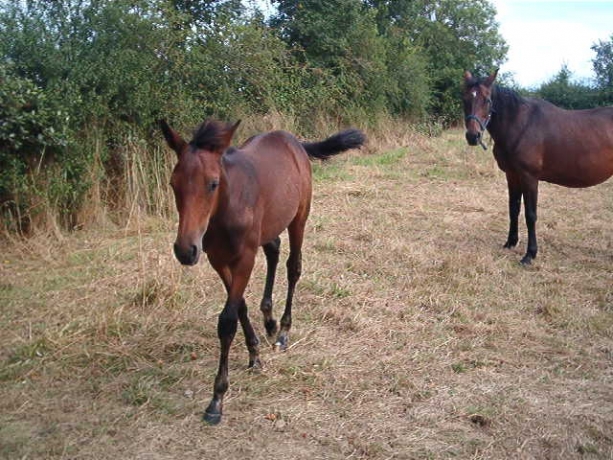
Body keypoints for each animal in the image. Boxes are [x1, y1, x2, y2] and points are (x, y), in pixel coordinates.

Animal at [160, 119, 366, 424]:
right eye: (173, 184)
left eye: (213, 184)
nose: (186, 251)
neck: (227, 208)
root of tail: (292, 140)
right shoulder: (217, 259)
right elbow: (240, 306)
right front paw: (254, 354)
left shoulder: (245, 257)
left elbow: (227, 320)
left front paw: (216, 399)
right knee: (274, 249)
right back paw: (269, 321)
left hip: (299, 216)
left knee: (293, 267)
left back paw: (283, 331)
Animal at [462, 69, 612, 264]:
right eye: (465, 99)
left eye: (487, 100)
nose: (473, 136)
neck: (520, 125)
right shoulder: (512, 175)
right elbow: (514, 209)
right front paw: (510, 242)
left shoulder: (529, 177)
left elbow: (530, 215)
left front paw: (529, 254)